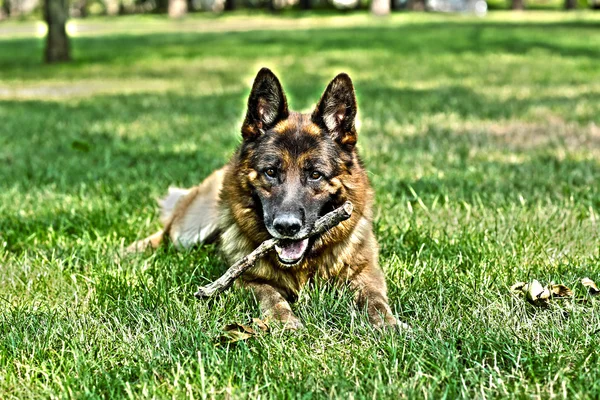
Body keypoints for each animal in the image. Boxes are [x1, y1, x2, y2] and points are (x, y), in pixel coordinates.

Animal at [131, 68, 404, 332]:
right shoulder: (247, 280)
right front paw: (284, 321)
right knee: (165, 233)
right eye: (271, 172)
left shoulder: (367, 273)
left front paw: (387, 323)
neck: (303, 264)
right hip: (189, 232)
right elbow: (271, 296)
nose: (286, 227)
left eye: (315, 174)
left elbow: (374, 299)